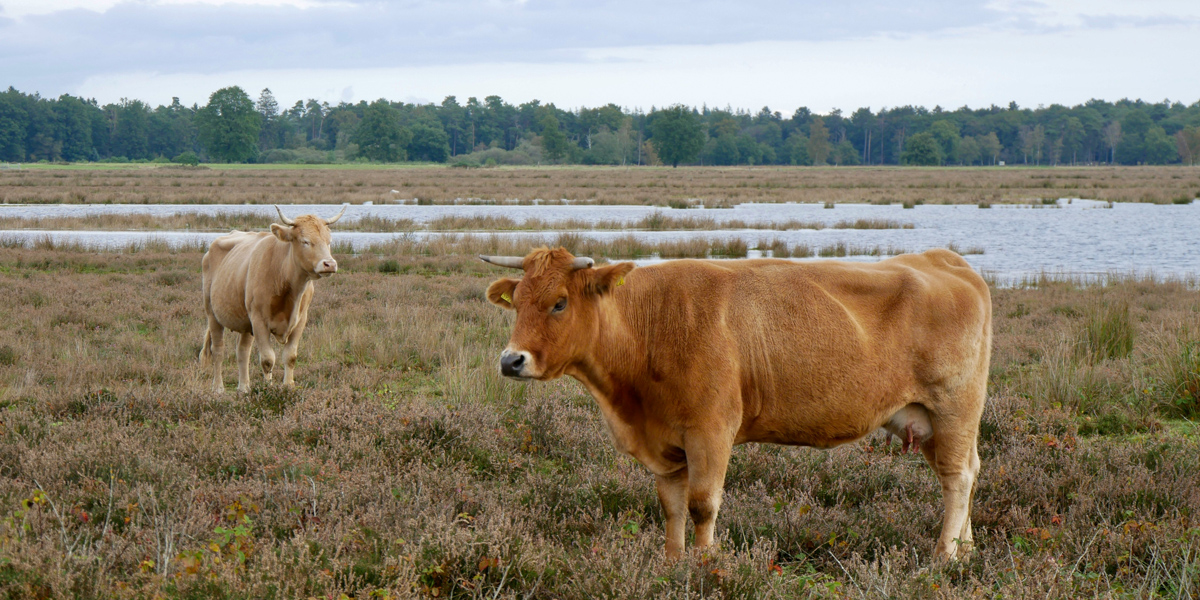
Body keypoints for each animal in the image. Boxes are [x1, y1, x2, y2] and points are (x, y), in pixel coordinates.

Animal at [199, 205, 345, 393]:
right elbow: (268, 359)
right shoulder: (259, 320)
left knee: (242, 351)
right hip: (212, 314)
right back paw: (218, 388)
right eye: (305, 241)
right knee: (218, 350)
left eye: (329, 241)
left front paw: (288, 386)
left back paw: (243, 387)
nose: (330, 264)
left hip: (245, 321)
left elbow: (290, 356)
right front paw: (268, 388)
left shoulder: (301, 320)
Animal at [482, 246, 988, 559]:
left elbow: (703, 504)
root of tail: (946, 260)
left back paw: (945, 556)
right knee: (969, 470)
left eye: (560, 302)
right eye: (517, 301)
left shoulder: (711, 431)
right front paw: (673, 563)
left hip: (954, 408)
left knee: (957, 477)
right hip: (928, 422)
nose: (511, 360)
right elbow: (671, 507)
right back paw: (967, 550)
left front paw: (707, 563)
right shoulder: (665, 446)